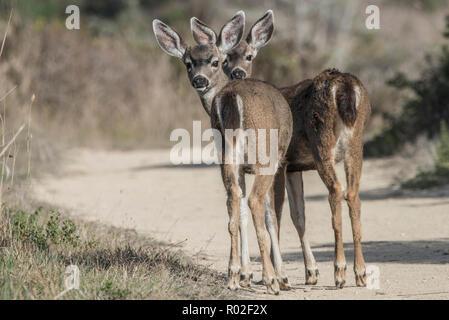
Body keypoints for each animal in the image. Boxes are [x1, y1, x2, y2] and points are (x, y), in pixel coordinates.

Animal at [153, 10, 294, 296]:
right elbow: (272, 215)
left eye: (214, 61)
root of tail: (231, 99)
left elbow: (240, 214)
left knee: (233, 203)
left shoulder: (238, 166)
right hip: (264, 155)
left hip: (227, 158)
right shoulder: (278, 162)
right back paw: (271, 281)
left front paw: (244, 274)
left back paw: (232, 276)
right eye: (188, 63)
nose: (200, 80)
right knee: (255, 203)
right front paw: (280, 276)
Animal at [221, 10, 372, 288]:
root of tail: (345, 87)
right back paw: (360, 272)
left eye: (249, 55)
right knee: (353, 194)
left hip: (322, 141)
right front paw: (309, 272)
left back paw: (340, 271)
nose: (237, 73)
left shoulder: (281, 164)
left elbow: (277, 214)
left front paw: (274, 274)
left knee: (336, 190)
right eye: (226, 57)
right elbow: (297, 214)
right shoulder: (294, 168)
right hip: (356, 144)